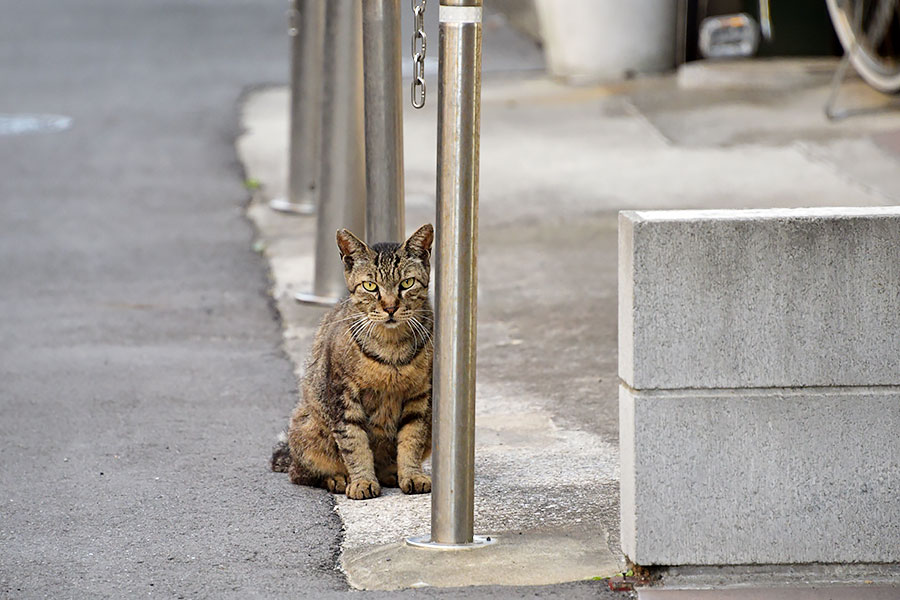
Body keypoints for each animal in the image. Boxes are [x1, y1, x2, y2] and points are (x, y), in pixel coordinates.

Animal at [268, 223, 434, 500]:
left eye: (407, 283)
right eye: (370, 286)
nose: (390, 307)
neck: (391, 346)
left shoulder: (420, 396)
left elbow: (412, 439)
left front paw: (412, 475)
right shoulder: (343, 397)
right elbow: (355, 445)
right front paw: (362, 481)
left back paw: (390, 474)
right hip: (308, 432)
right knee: (302, 474)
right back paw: (338, 478)